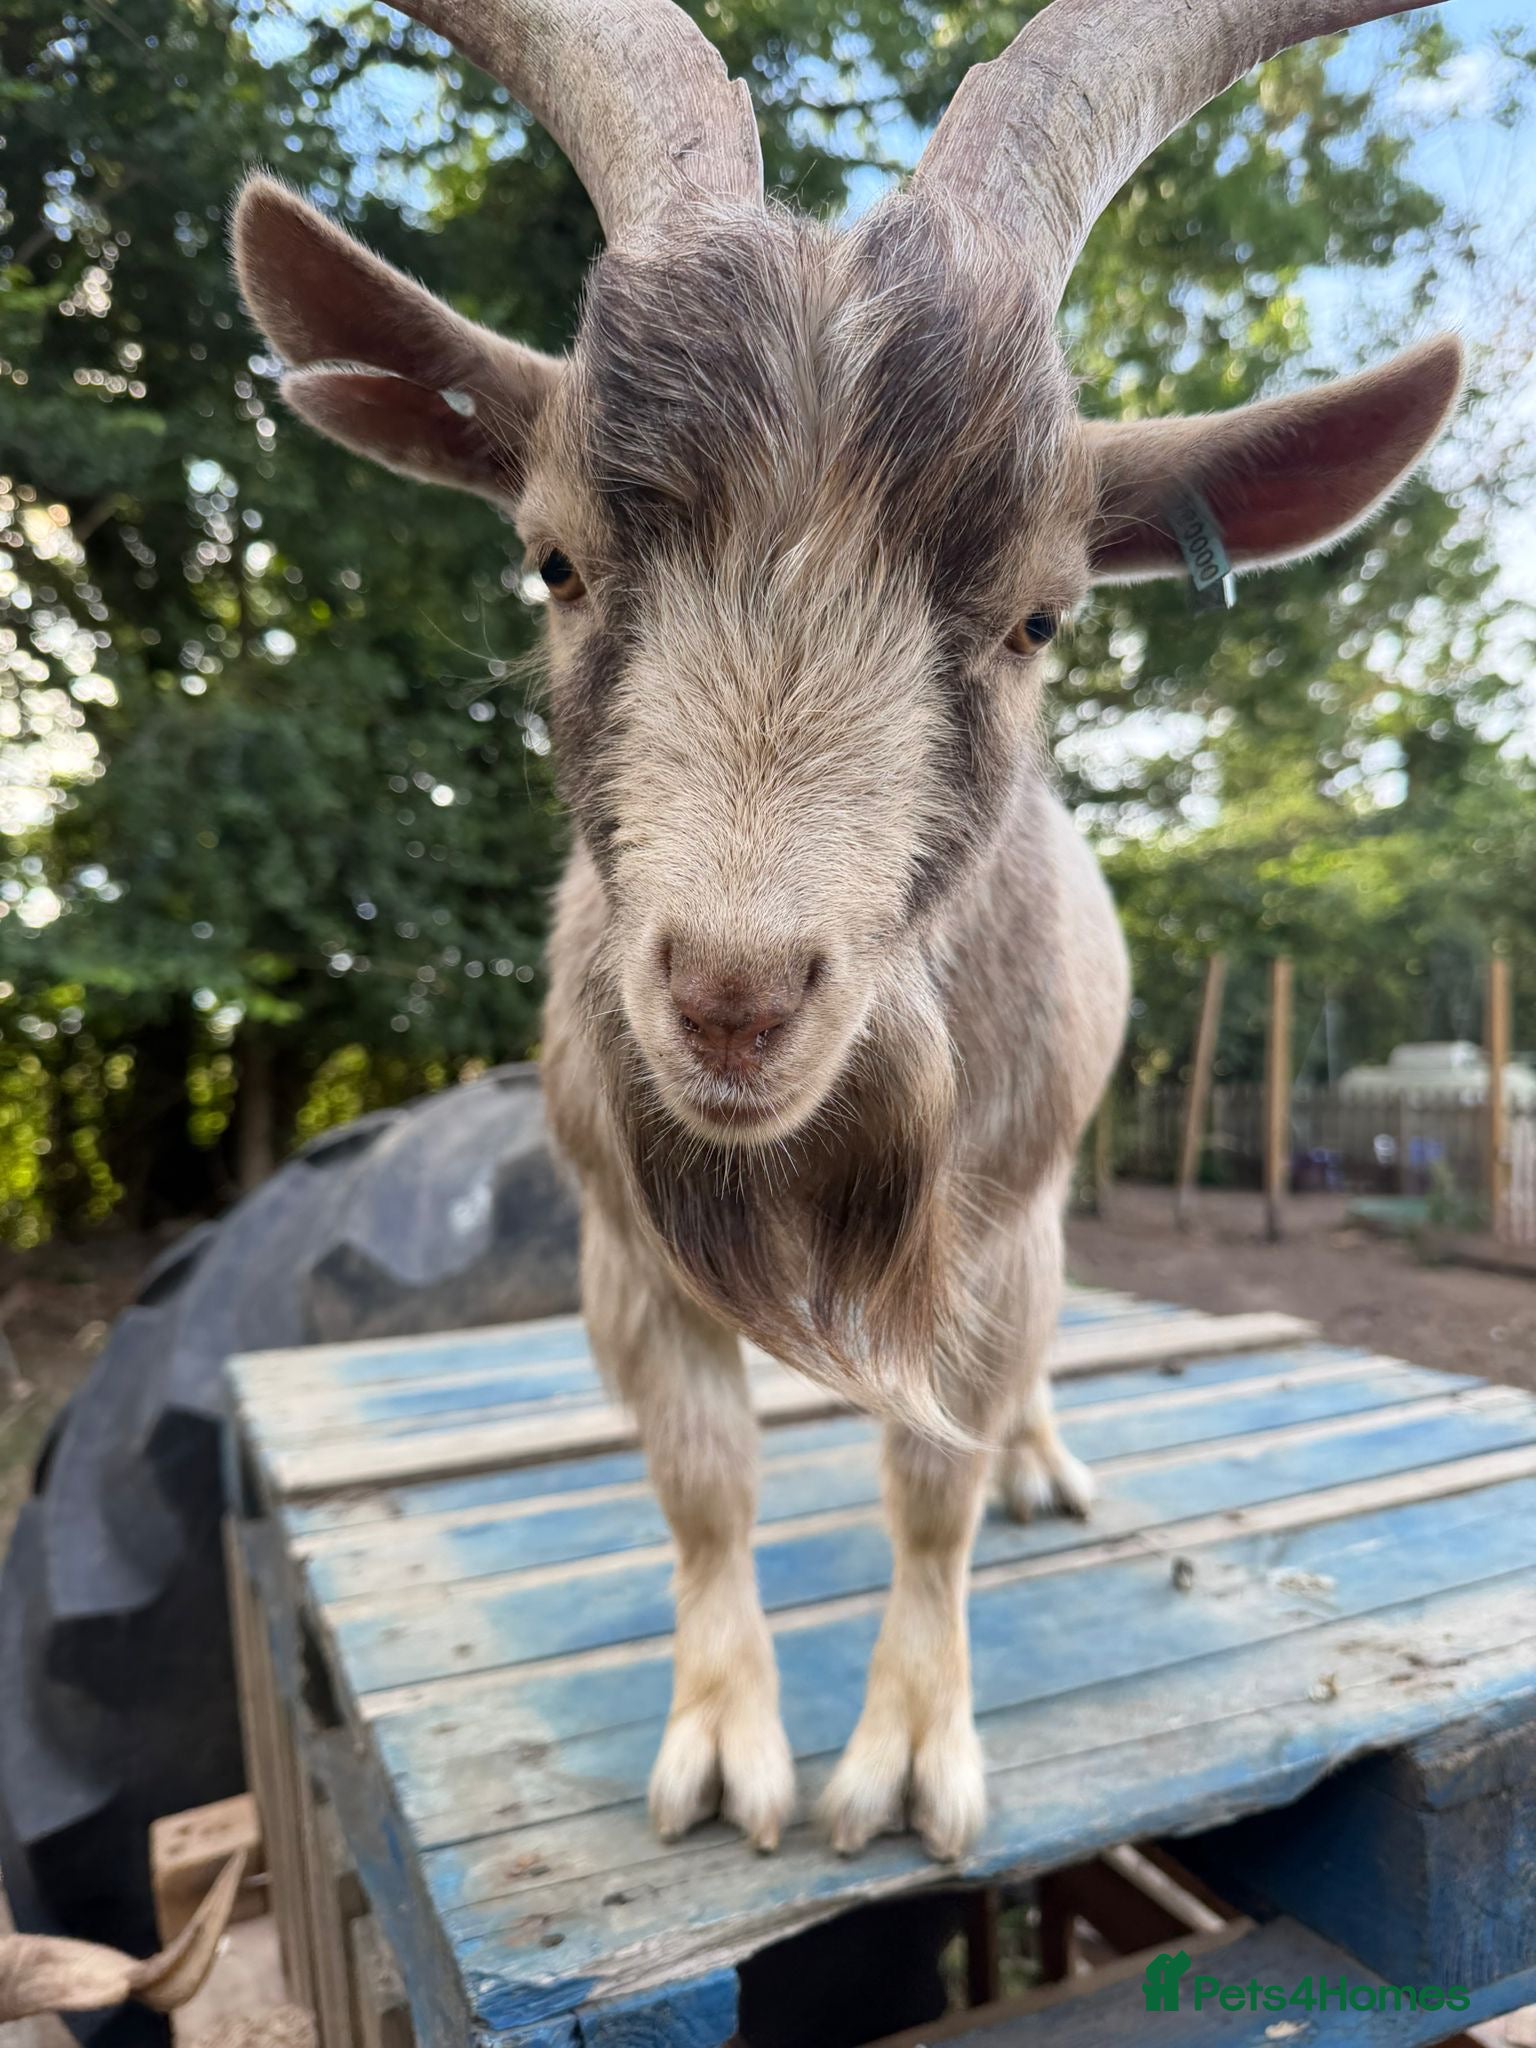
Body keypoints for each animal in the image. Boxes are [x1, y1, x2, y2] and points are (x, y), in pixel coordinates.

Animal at [234, 0, 1459, 1862]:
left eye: (1040, 617)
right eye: (553, 561)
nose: (736, 995)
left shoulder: (988, 1222)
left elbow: (931, 1484)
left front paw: (905, 1758)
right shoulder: (619, 1240)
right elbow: (700, 1478)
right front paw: (723, 1744)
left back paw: (1040, 1462)